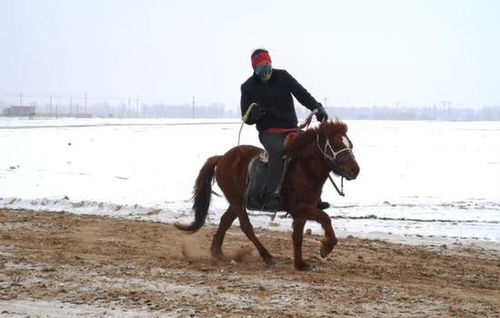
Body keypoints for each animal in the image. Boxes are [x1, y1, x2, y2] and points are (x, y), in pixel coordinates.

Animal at [176, 120, 360, 270]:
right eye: (336, 146)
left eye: (350, 145)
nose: (355, 170)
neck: (304, 168)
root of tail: (222, 158)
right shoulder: (299, 207)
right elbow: (325, 218)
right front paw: (326, 247)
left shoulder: (302, 210)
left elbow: (298, 236)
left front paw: (299, 264)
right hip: (236, 201)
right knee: (246, 227)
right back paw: (267, 257)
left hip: (236, 201)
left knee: (225, 220)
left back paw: (217, 252)